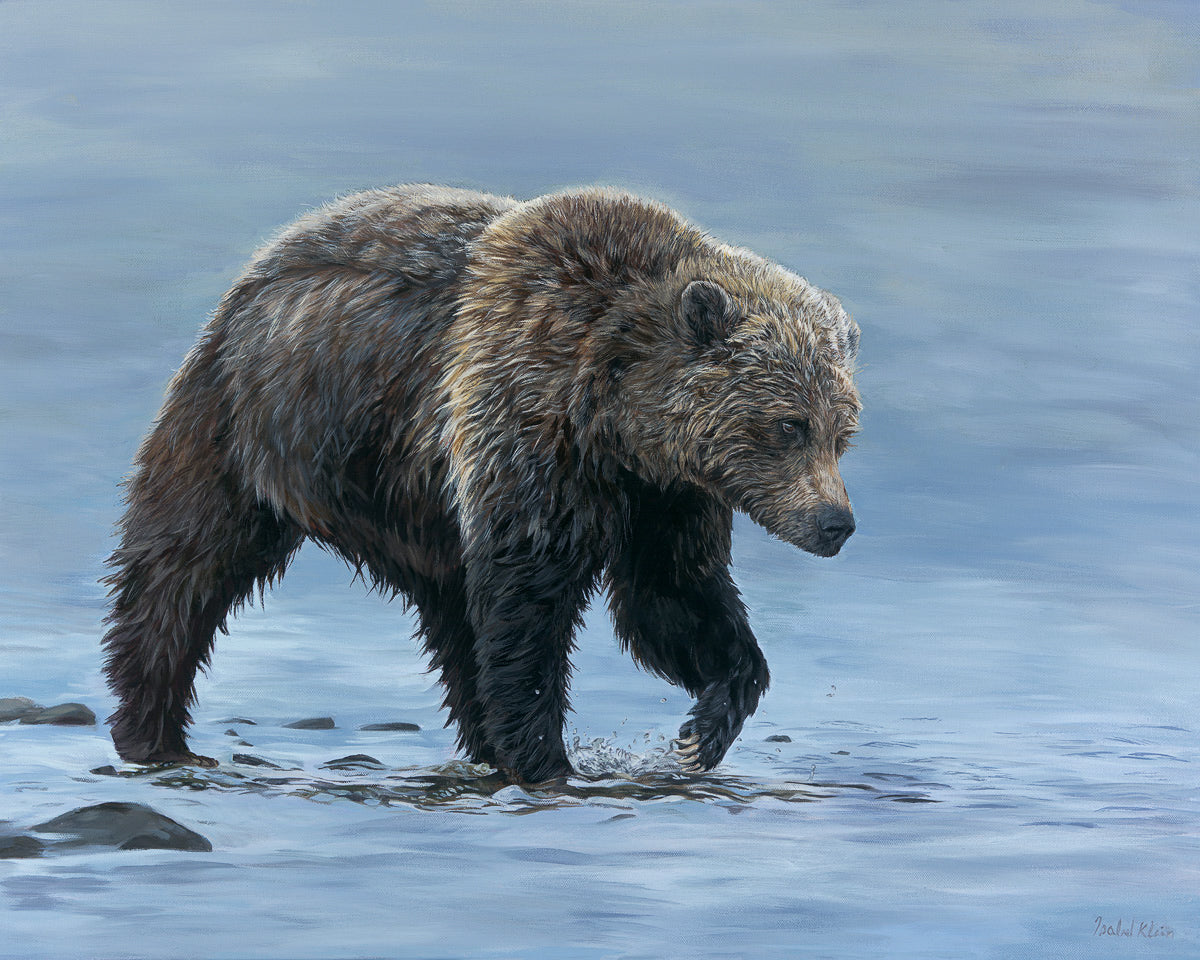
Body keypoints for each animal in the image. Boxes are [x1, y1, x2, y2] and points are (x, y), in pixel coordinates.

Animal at [101, 184, 861, 783]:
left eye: (842, 431)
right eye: (789, 425)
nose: (836, 523)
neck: (615, 412)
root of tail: (254, 273)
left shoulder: (666, 497)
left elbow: (669, 597)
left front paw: (706, 724)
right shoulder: (526, 423)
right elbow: (529, 600)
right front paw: (548, 756)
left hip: (407, 503)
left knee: (455, 618)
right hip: (250, 424)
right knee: (182, 568)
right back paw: (153, 732)